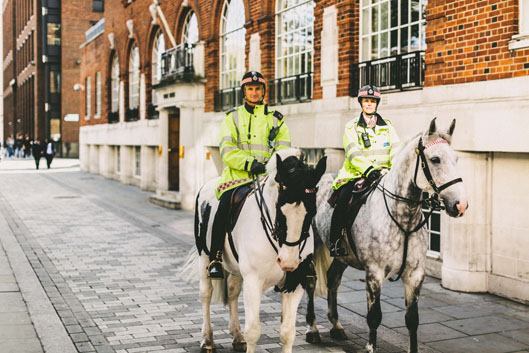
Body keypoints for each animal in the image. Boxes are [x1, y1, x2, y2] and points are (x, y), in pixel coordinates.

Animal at [306, 119, 466, 352]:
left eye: (456, 159)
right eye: (435, 159)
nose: (460, 205)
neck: (402, 219)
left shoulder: (415, 275)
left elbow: (412, 319)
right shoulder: (374, 273)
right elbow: (374, 316)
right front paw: (371, 347)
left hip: (342, 255)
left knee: (333, 279)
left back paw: (336, 325)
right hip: (311, 247)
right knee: (310, 283)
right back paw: (312, 330)